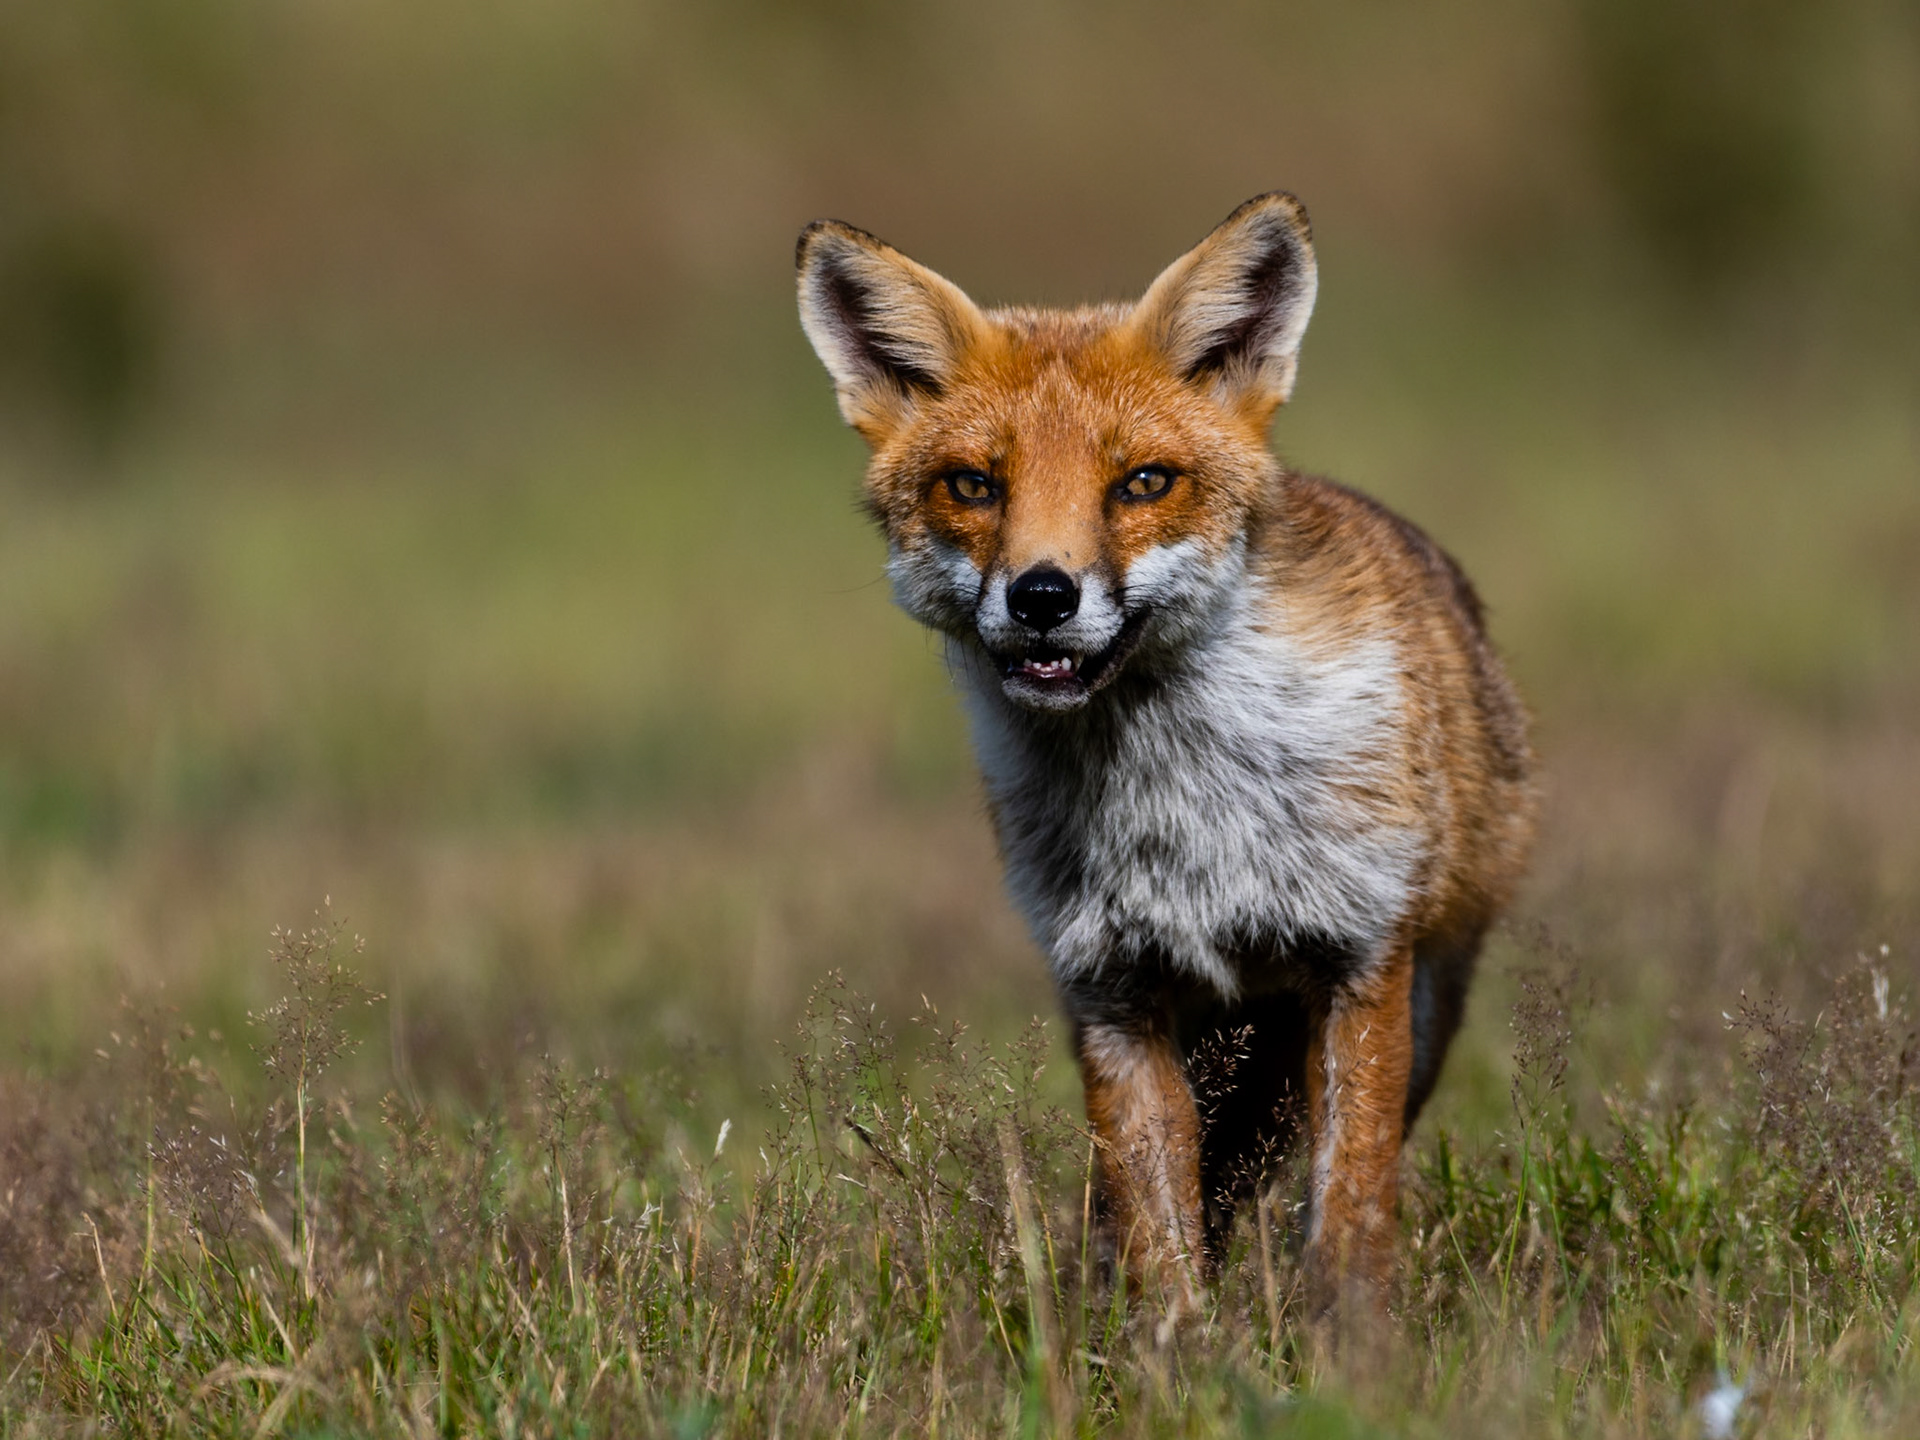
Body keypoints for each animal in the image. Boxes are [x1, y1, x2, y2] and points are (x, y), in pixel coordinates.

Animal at [795, 193, 1534, 1321]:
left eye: (1143, 482)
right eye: (974, 485)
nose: (1042, 596)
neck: (1182, 810)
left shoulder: (1359, 958)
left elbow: (1350, 1207)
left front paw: (1350, 1344)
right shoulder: (1109, 987)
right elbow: (1156, 1221)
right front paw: (1173, 1349)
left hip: (1418, 1002)